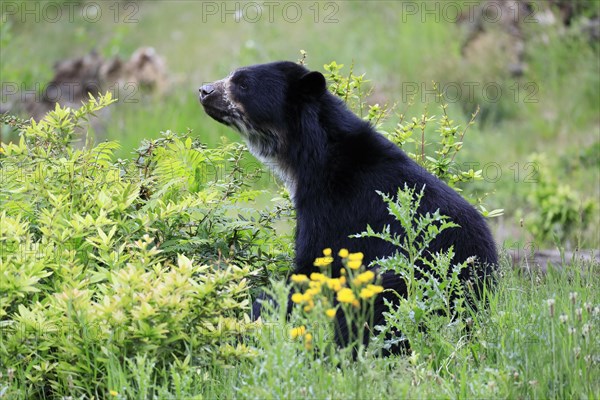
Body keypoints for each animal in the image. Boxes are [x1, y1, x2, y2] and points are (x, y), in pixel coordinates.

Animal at [199, 60, 500, 354]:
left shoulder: (334, 206)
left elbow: (312, 263)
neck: (310, 155)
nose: (204, 90)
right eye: (232, 75)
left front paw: (256, 313)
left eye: (243, 84)